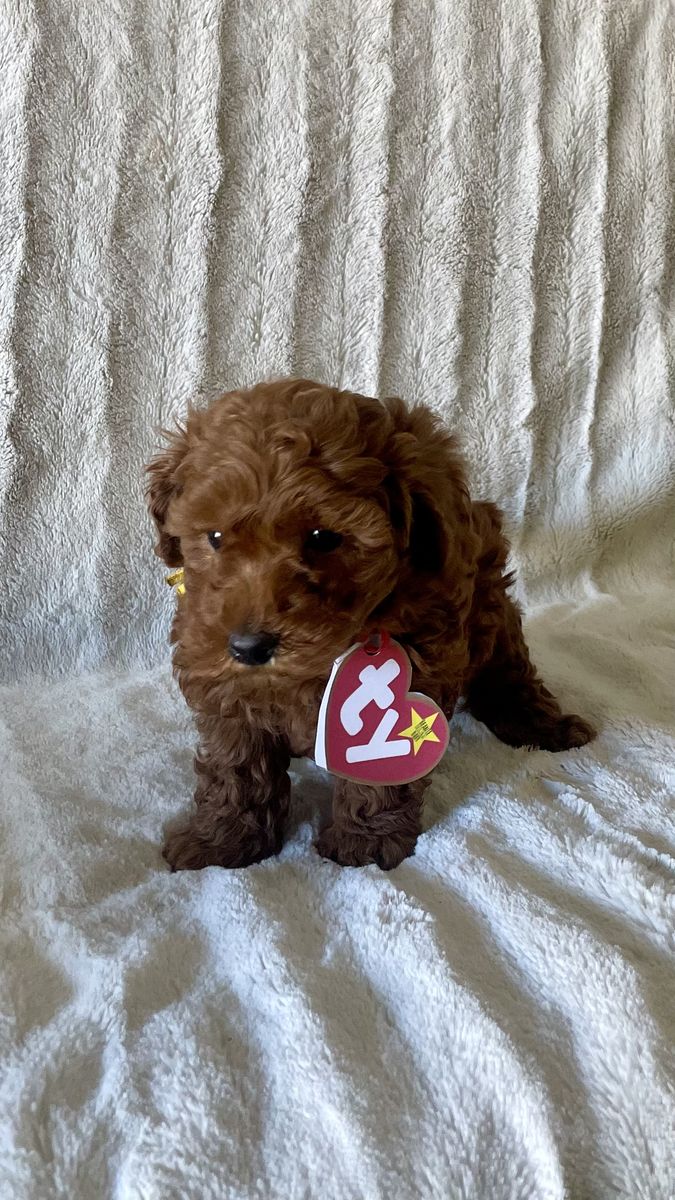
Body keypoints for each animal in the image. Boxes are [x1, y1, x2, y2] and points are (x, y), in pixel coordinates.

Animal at [147, 378, 595, 871]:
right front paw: (222, 838)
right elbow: (236, 763)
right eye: (215, 537)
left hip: (491, 609)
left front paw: (363, 840)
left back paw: (544, 724)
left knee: (509, 670)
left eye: (323, 538)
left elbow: (381, 768)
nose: (249, 647)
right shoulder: (221, 679)